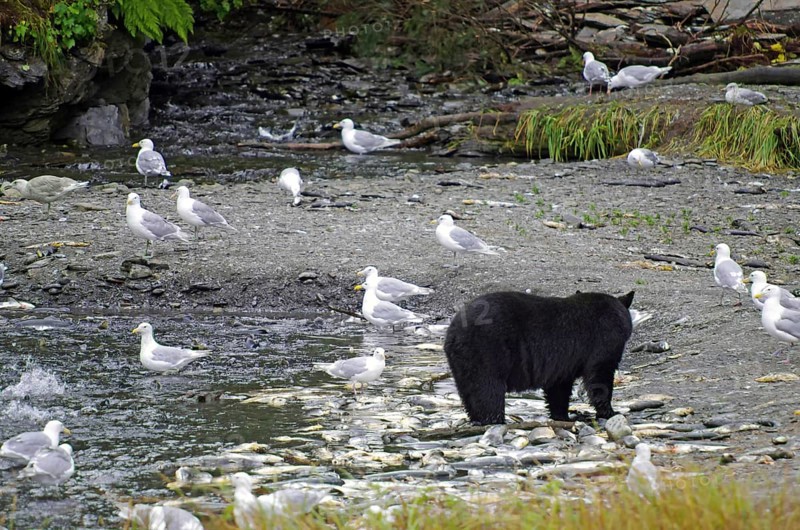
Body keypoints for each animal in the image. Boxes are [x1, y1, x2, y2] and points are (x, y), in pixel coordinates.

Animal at [444, 290, 635, 424]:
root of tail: (454, 333)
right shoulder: (603, 339)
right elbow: (600, 376)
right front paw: (610, 412)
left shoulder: (562, 364)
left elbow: (558, 387)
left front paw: (562, 415)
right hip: (487, 353)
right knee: (488, 390)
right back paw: (494, 419)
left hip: (463, 362)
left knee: (469, 392)